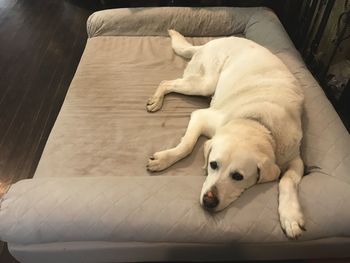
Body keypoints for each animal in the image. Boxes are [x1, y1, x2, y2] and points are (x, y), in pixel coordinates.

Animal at [145, 29, 304, 240]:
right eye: (213, 165)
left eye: (238, 176)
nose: (209, 201)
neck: (257, 123)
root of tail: (210, 43)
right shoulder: (202, 117)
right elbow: (186, 146)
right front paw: (164, 159)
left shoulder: (295, 158)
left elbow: (288, 180)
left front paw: (291, 217)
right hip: (205, 83)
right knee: (167, 82)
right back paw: (157, 100)